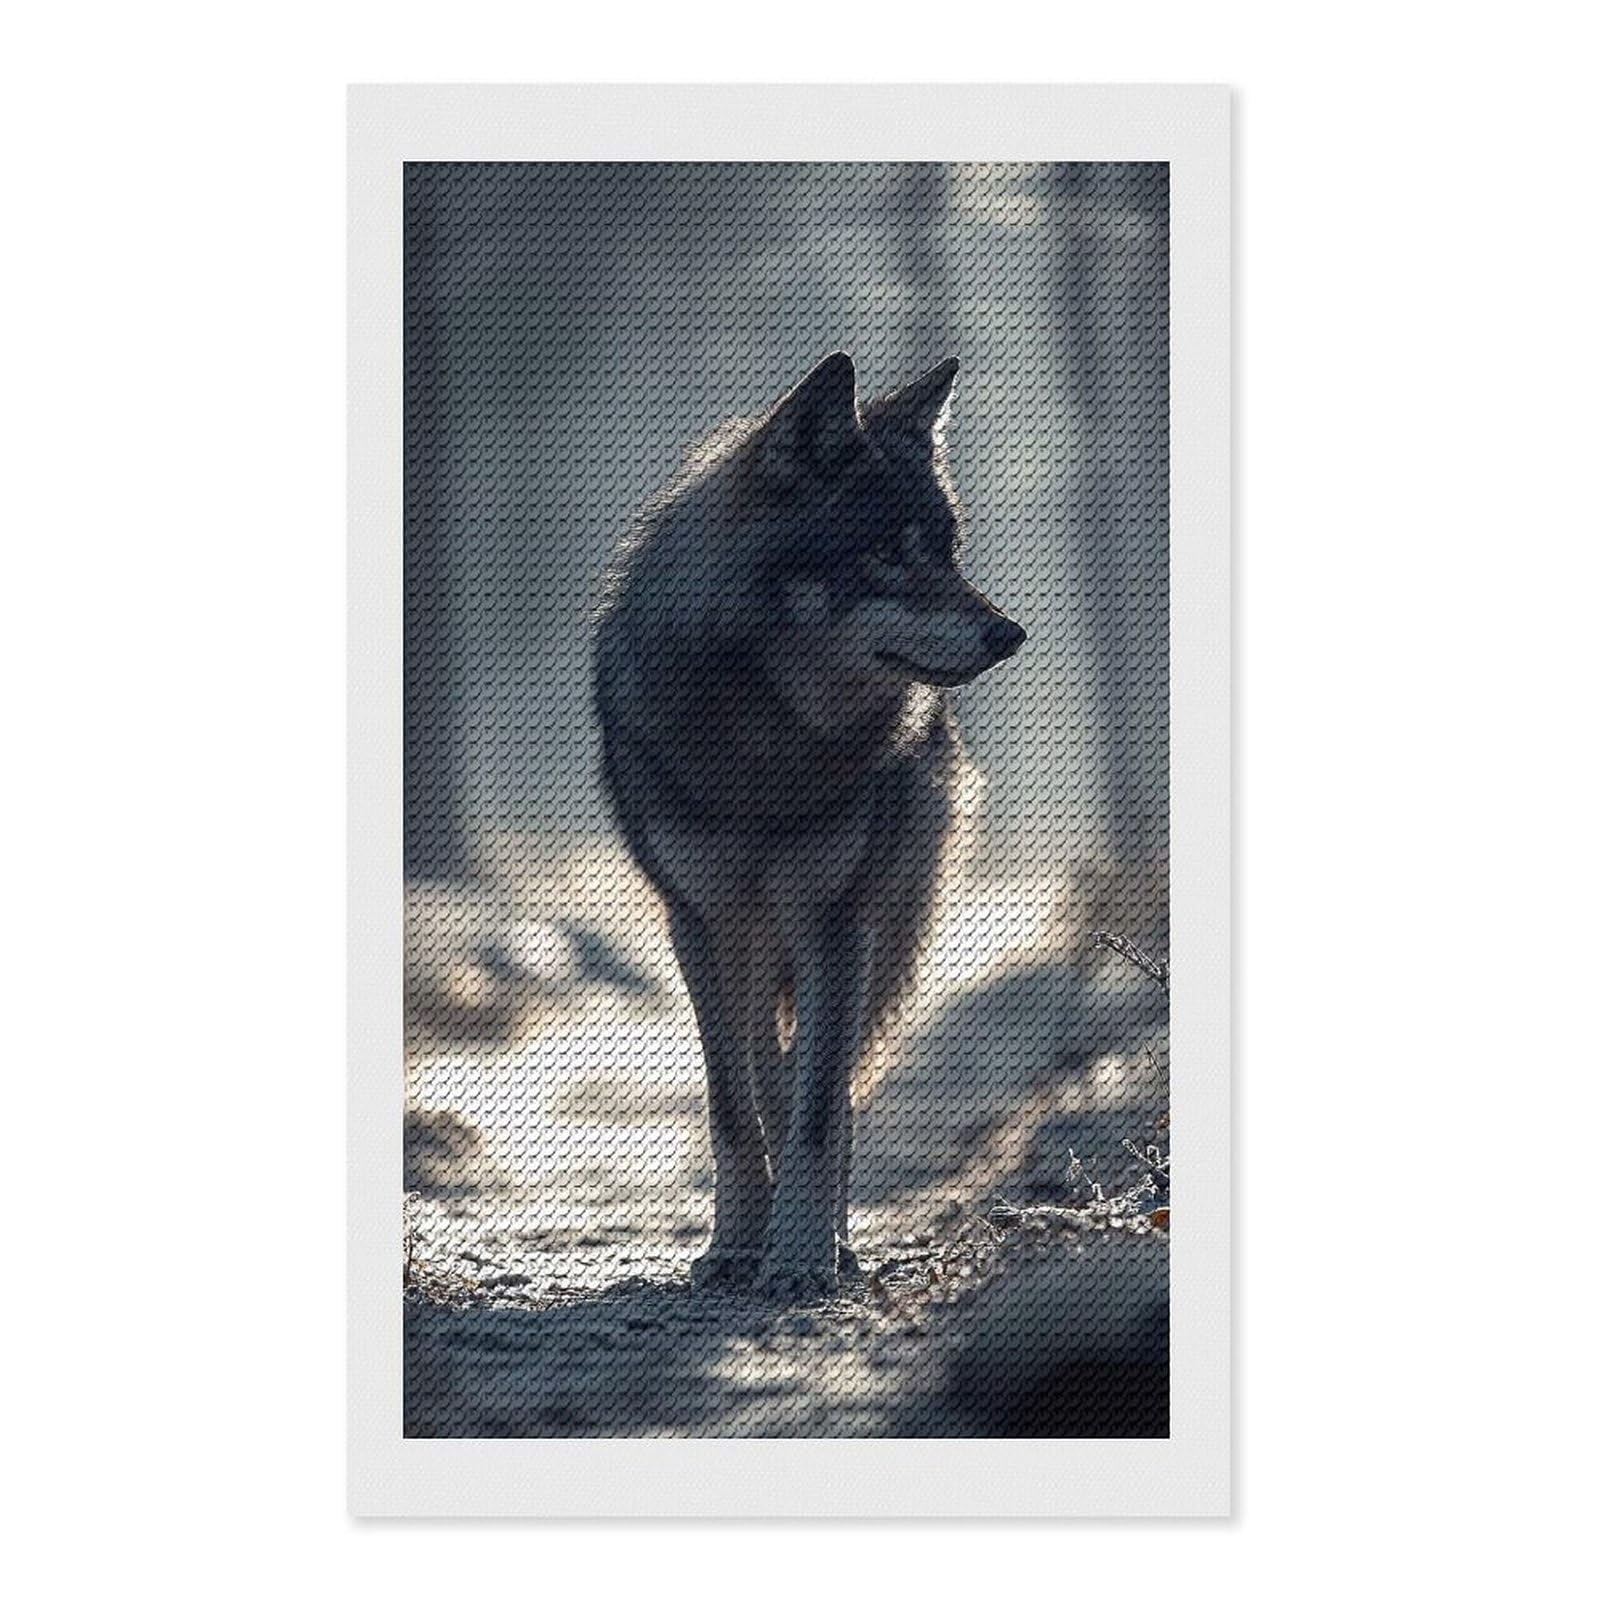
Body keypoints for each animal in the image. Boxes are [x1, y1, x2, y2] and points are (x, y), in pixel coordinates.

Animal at [593, 352, 1025, 1299]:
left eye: (948, 551)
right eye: (886, 553)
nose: (1009, 633)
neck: (769, 740)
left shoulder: (838, 922)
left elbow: (820, 1111)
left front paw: (798, 1258)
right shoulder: (700, 924)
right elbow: (735, 1104)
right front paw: (735, 1247)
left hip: (880, 933)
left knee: (827, 1082)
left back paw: (839, 1241)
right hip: (758, 943)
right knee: (768, 1068)